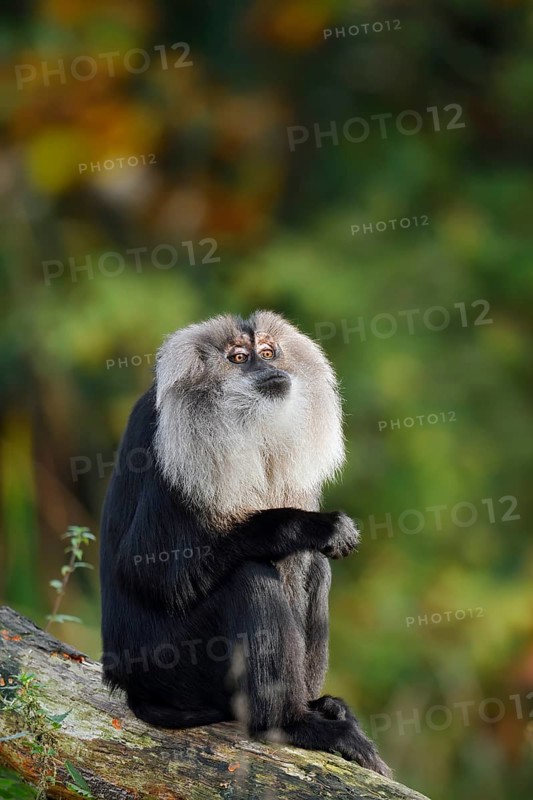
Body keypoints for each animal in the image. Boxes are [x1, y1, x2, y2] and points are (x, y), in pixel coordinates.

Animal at [99, 310, 390, 776]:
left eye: (268, 352)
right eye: (239, 358)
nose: (266, 368)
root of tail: (129, 684)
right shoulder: (170, 447)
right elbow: (155, 571)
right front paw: (310, 526)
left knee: (314, 567)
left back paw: (315, 706)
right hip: (174, 668)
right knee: (250, 577)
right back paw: (289, 724)